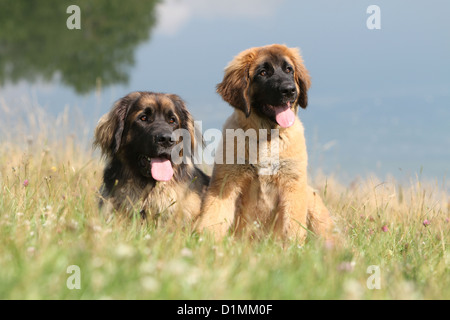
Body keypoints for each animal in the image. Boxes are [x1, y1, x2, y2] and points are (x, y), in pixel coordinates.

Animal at [196, 43, 334, 241]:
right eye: (262, 73)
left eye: (289, 70)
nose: (289, 90)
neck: (266, 137)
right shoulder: (225, 182)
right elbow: (212, 216)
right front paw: (204, 241)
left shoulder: (293, 184)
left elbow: (292, 225)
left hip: (313, 201)